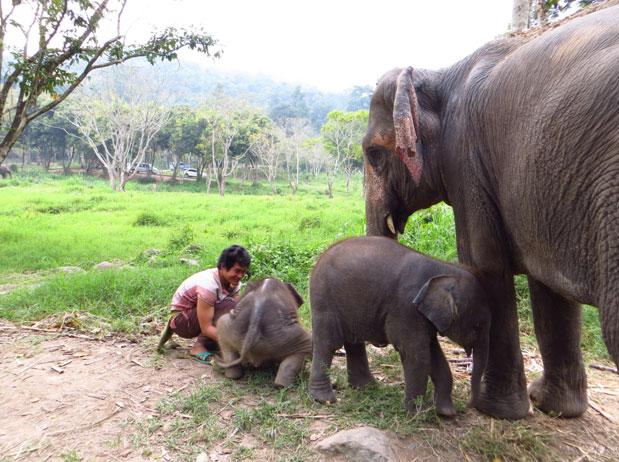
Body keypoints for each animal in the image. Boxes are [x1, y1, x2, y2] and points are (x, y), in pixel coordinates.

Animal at [308, 236, 492, 416]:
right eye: (477, 326)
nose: (468, 406)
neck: (443, 269)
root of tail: (320, 259)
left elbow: (433, 352)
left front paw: (446, 413)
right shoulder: (406, 308)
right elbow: (416, 354)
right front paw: (416, 414)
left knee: (354, 342)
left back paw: (367, 388)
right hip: (324, 298)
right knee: (328, 343)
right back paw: (324, 399)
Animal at [364, 5, 619, 420]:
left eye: (373, 154)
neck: (441, 74)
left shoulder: (466, 159)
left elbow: (483, 264)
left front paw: (492, 409)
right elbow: (547, 282)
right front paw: (551, 407)